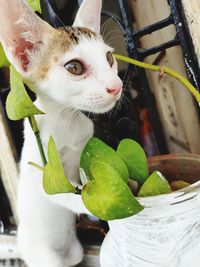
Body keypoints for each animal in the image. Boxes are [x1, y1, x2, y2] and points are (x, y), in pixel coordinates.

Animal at [0, 0, 122, 267]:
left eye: (109, 58)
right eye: (74, 67)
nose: (116, 86)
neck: (67, 121)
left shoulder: (81, 151)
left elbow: (84, 176)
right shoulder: (48, 177)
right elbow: (70, 195)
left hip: (76, 252)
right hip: (45, 257)